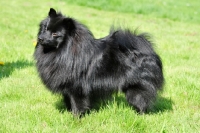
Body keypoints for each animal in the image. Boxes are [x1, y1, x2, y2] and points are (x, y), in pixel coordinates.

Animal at [34, 8, 164, 115]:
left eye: (55, 34)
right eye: (45, 29)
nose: (40, 38)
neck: (65, 52)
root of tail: (149, 51)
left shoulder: (77, 88)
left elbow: (77, 104)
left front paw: (77, 118)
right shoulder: (66, 87)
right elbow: (69, 102)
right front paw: (68, 114)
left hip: (137, 88)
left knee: (141, 101)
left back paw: (139, 115)